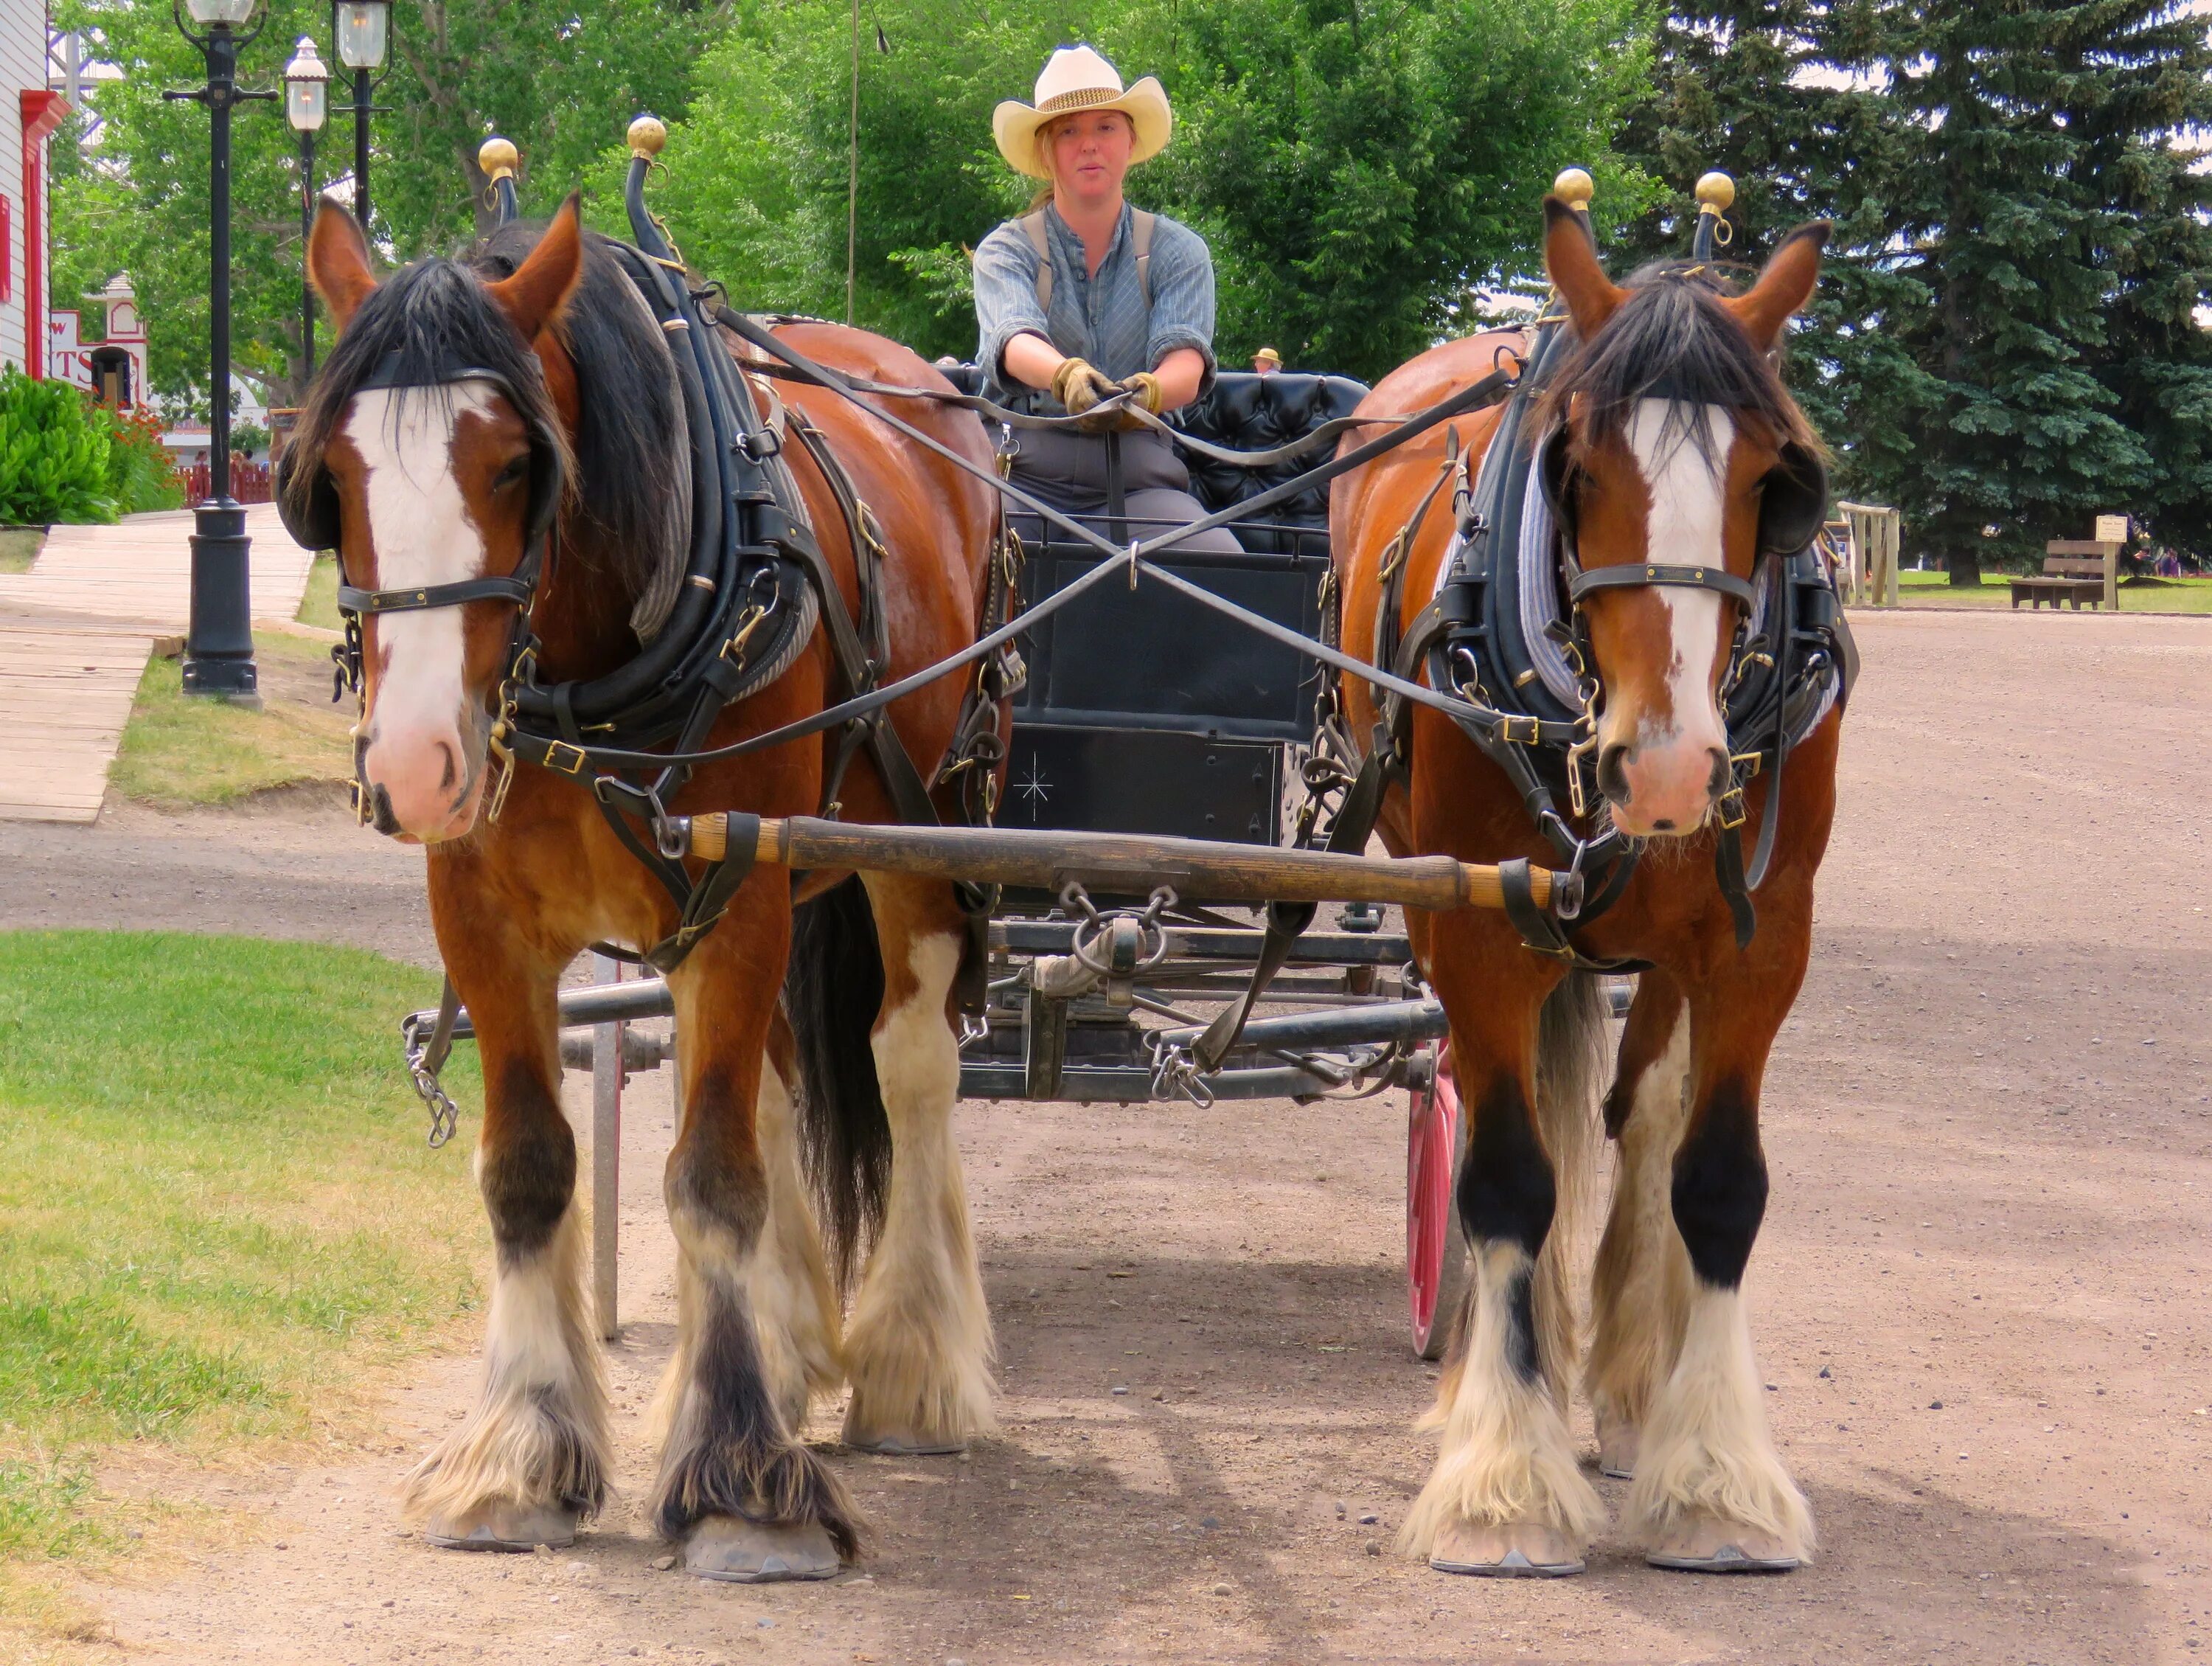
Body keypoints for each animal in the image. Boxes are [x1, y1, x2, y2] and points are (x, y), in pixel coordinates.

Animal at [301, 195, 1004, 1575]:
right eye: (337, 476)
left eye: (515, 464)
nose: (410, 762)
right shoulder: (483, 916)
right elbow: (531, 1165)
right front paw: (521, 1455)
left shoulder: (736, 894)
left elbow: (712, 1177)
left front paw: (740, 1482)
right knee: (782, 1080)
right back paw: (786, 1345)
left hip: (921, 833)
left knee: (909, 1064)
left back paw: (910, 1363)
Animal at [1336, 198, 1840, 1575]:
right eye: (1578, 472)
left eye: (1773, 481)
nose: (1665, 765)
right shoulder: (1477, 924)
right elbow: (1508, 1176)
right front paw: (1501, 1481)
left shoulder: (1762, 932)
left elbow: (1716, 1180)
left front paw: (1717, 1482)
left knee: (1646, 1121)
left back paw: (1623, 1384)